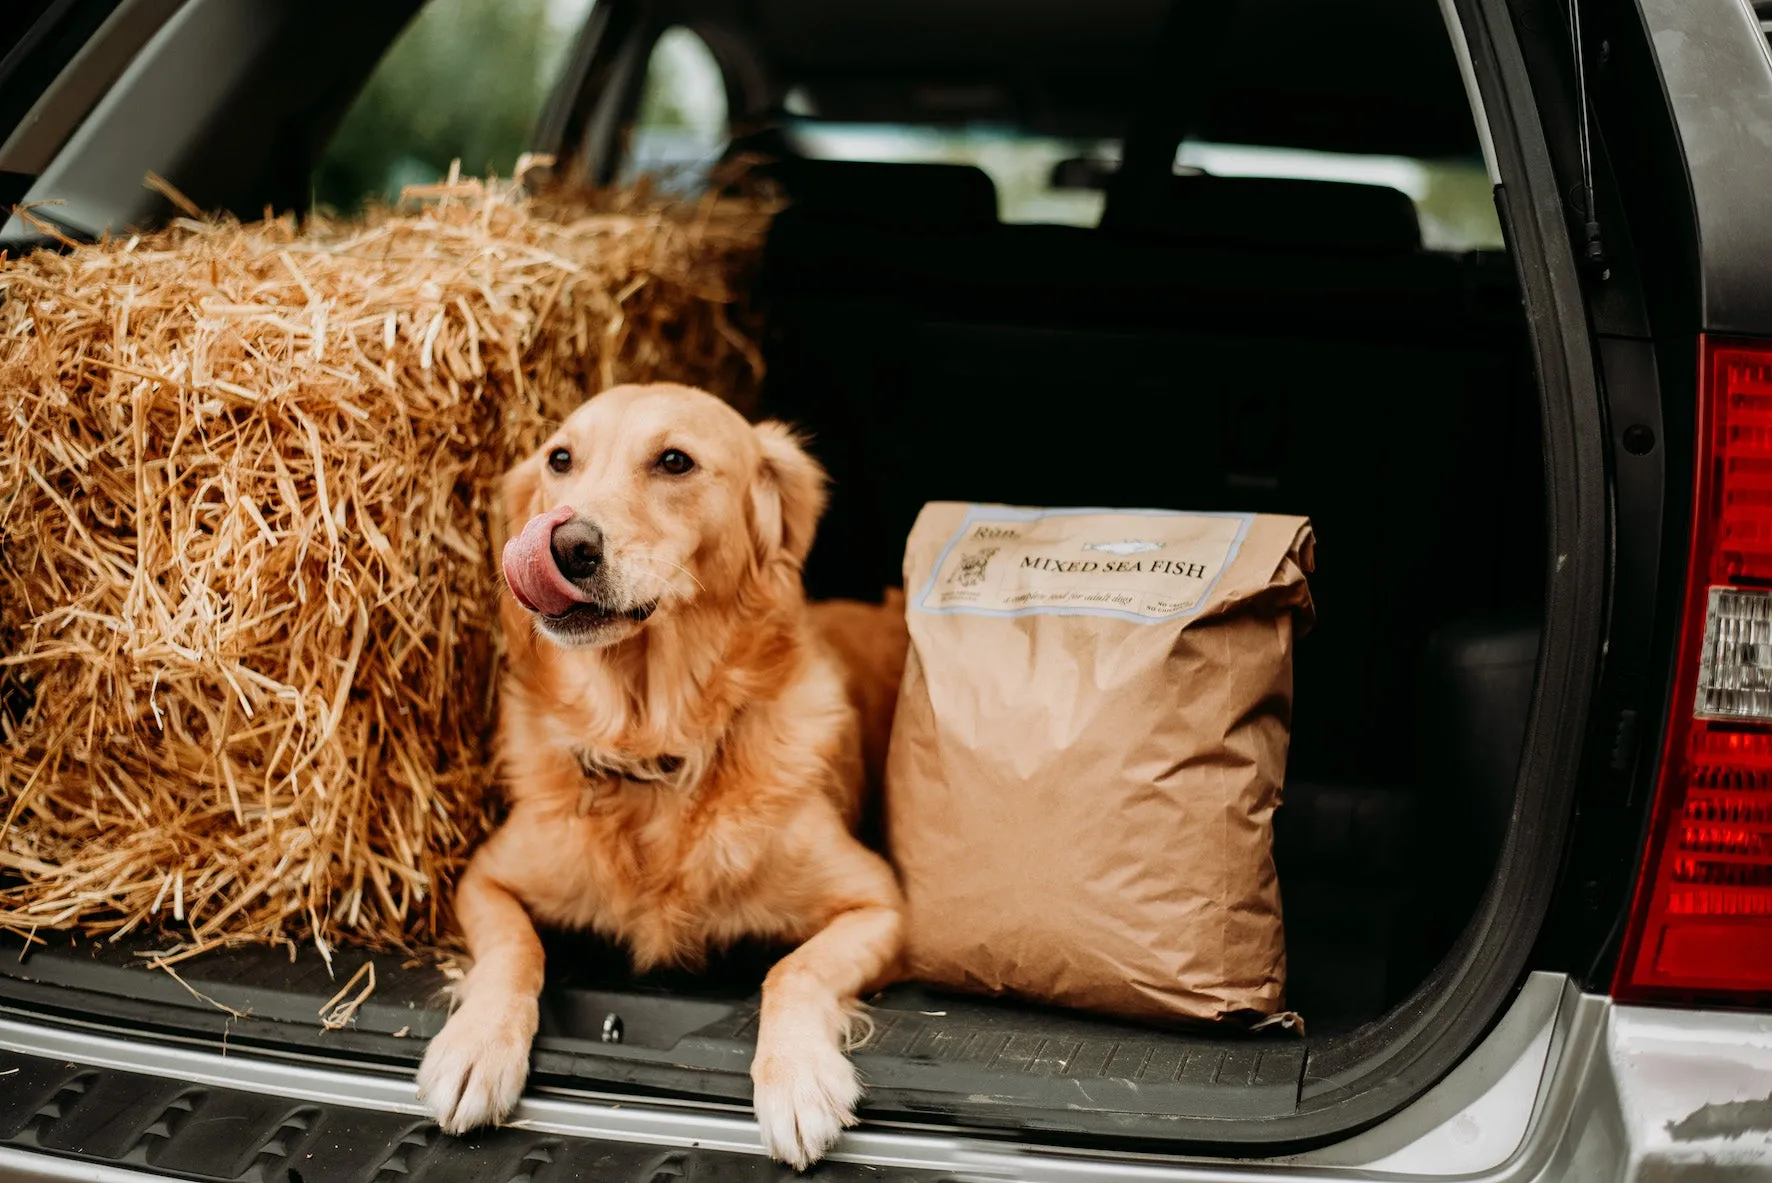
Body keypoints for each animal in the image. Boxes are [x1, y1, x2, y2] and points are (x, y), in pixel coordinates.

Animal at [419, 384, 907, 1168]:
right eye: (560, 459)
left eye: (674, 461)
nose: (566, 544)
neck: (650, 745)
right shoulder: (485, 878)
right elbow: (514, 948)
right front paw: (475, 1044)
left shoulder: (880, 903)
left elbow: (792, 968)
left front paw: (797, 1075)